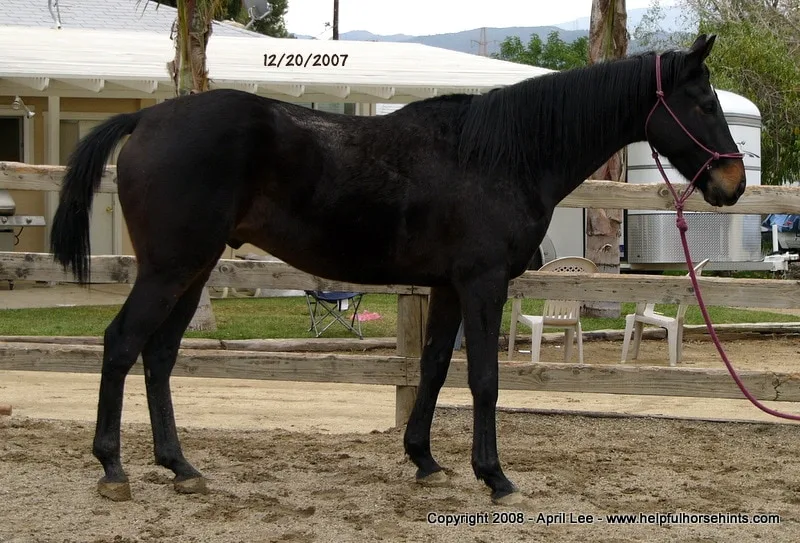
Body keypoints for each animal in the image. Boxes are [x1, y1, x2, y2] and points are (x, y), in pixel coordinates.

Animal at [53, 36, 748, 506]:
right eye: (703, 100)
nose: (733, 183)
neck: (502, 153)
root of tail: (147, 117)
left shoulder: (447, 288)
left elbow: (435, 368)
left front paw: (425, 460)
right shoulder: (482, 284)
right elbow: (485, 379)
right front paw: (495, 476)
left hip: (191, 272)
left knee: (160, 355)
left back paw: (180, 467)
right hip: (169, 270)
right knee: (121, 344)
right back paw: (113, 468)